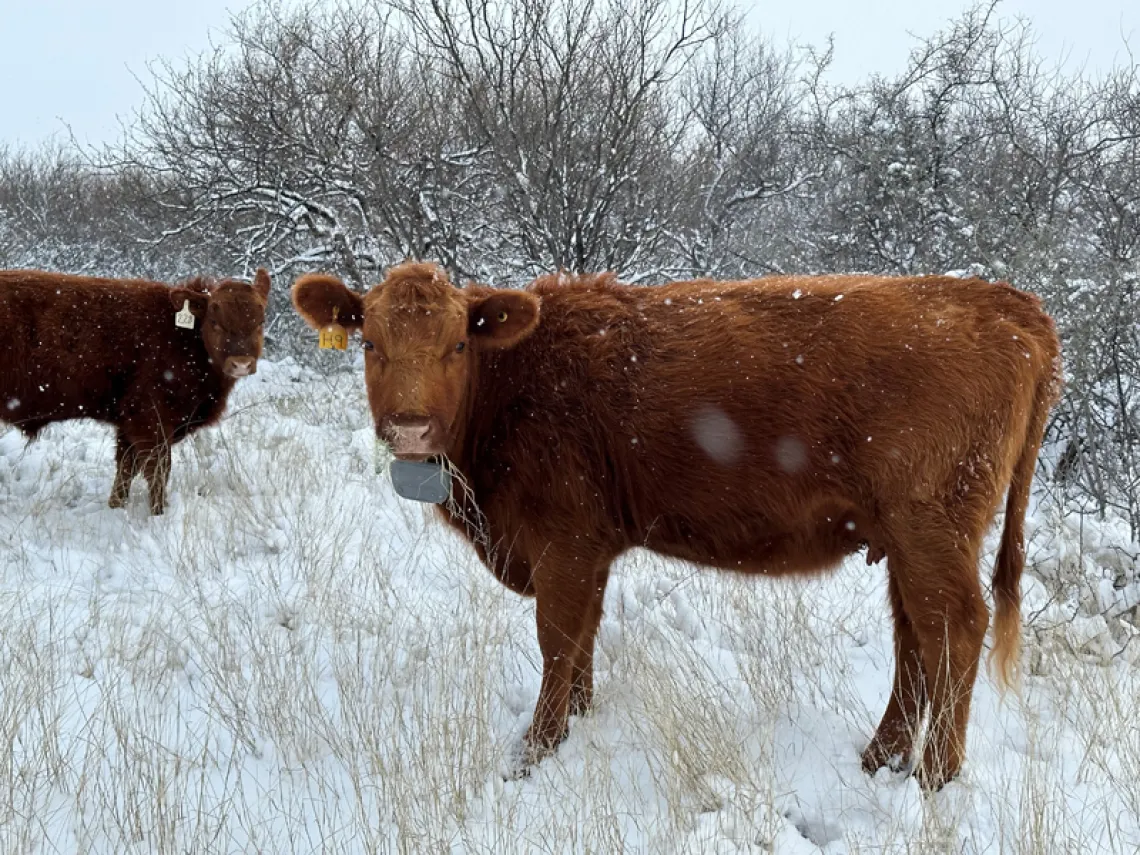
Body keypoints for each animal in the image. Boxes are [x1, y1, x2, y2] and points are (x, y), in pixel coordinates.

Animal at [1, 267, 270, 515]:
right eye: (214, 322)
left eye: (260, 321)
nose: (241, 363)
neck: (180, 337)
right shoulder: (150, 421)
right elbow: (158, 470)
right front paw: (158, 515)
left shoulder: (128, 426)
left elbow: (126, 468)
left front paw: (116, 506)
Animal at [291, 264, 1057, 793]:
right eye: (369, 342)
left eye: (456, 345)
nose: (410, 427)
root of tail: (1000, 299)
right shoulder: (591, 548)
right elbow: (583, 638)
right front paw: (577, 722)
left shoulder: (563, 542)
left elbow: (557, 638)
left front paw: (533, 752)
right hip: (906, 540)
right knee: (915, 640)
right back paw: (882, 759)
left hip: (931, 529)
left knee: (955, 628)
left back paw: (934, 777)